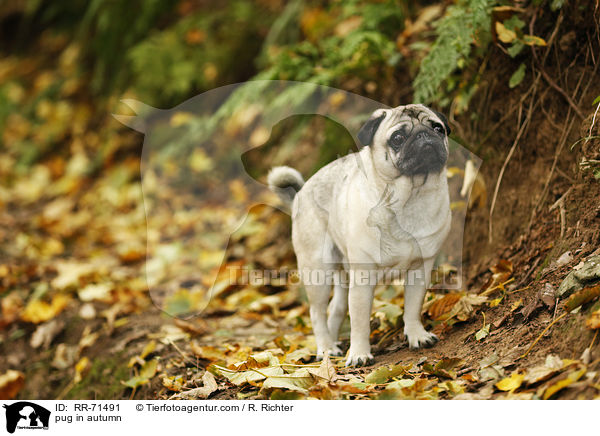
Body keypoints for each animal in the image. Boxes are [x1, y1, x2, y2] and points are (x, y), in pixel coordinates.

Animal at [268, 104, 450, 366]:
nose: (424, 135)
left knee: (336, 309)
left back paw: (333, 344)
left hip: (344, 275)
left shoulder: (420, 269)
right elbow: (360, 322)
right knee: (317, 312)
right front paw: (359, 354)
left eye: (438, 128)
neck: (409, 198)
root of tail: (301, 193)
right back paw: (325, 348)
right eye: (398, 138)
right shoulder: (363, 277)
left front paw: (417, 335)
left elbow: (412, 308)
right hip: (318, 271)